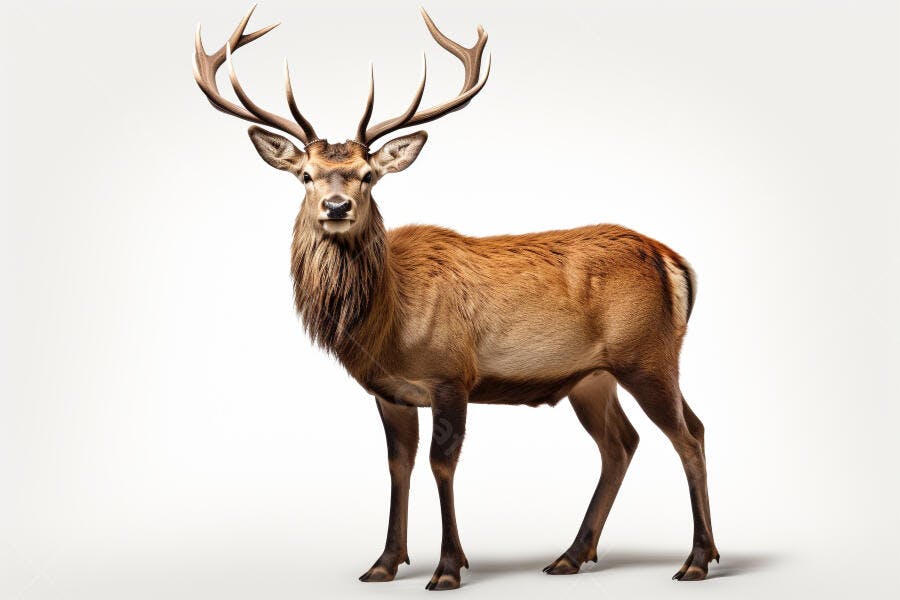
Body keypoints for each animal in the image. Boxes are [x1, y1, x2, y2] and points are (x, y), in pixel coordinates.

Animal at [193, 5, 719, 591]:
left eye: (368, 176)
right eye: (305, 175)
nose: (335, 206)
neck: (385, 324)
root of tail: (675, 262)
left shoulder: (452, 374)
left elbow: (441, 465)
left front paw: (447, 567)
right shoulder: (390, 392)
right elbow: (397, 465)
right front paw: (383, 562)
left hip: (647, 355)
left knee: (688, 435)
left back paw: (697, 559)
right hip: (593, 376)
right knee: (623, 443)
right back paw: (571, 555)